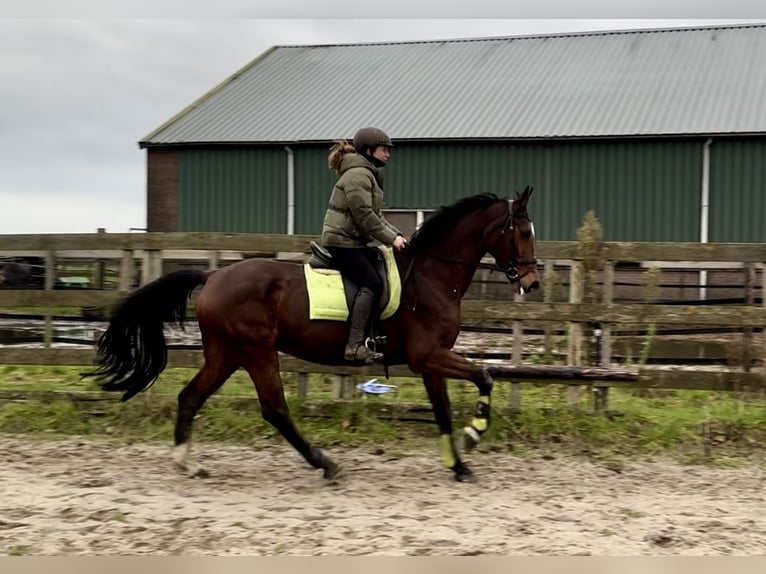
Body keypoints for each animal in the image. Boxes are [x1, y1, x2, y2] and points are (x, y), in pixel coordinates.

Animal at [82, 187, 540, 484]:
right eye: (522, 232)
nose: (533, 282)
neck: (431, 275)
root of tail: (213, 276)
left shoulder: (432, 360)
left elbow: (444, 410)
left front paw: (458, 464)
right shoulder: (428, 355)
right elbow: (485, 376)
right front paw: (474, 435)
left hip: (226, 355)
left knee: (191, 397)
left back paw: (187, 463)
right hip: (256, 351)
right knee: (274, 409)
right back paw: (325, 464)